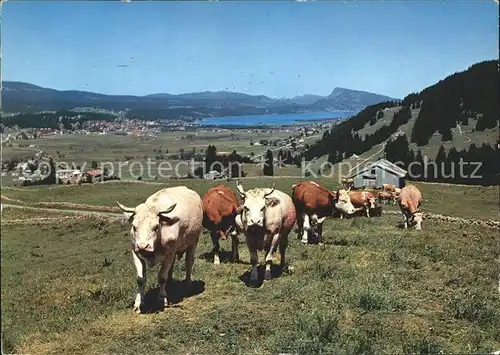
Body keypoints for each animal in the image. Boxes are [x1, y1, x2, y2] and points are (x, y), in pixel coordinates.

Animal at [117, 186, 203, 314]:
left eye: (155, 227)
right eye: (134, 226)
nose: (143, 246)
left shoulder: (170, 253)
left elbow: (162, 277)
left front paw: (162, 299)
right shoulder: (135, 252)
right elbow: (140, 279)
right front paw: (138, 303)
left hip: (193, 241)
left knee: (189, 262)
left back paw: (188, 284)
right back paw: (170, 283)